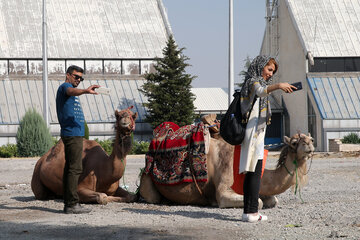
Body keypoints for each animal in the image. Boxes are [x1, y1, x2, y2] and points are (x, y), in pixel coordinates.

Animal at [139, 120, 314, 208]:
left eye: (310, 138)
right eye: (294, 142)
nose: (310, 146)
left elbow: (272, 200)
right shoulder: (224, 188)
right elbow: (258, 202)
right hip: (147, 180)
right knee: (151, 197)